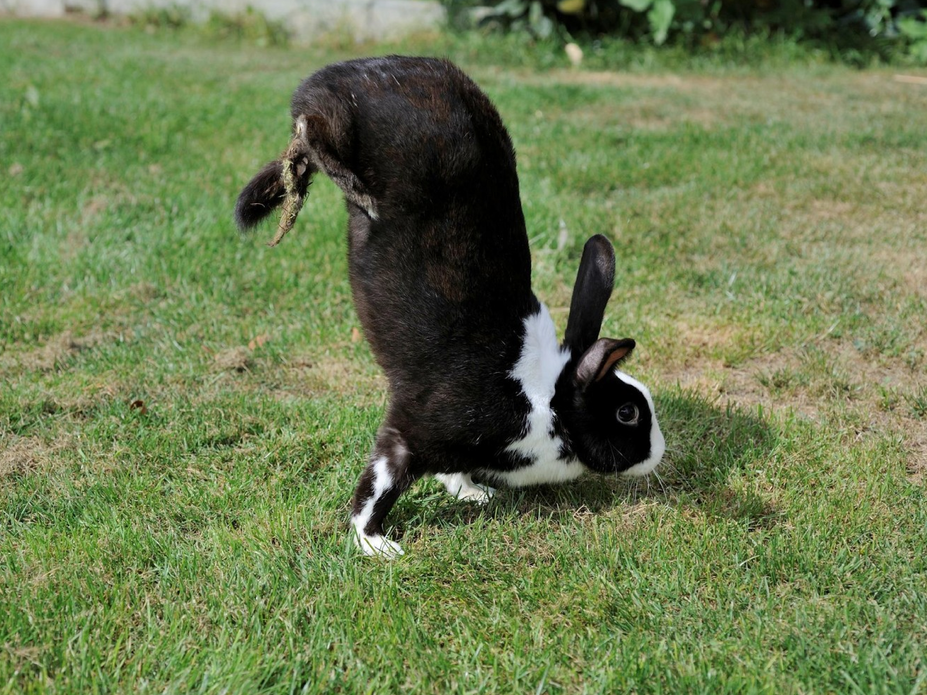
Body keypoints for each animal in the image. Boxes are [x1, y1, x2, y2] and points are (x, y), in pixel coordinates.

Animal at [236, 55, 664, 560]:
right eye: (626, 413)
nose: (658, 453)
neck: (548, 399)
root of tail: (344, 71)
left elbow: (450, 471)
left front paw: (473, 493)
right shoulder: (411, 434)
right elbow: (380, 485)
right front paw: (375, 545)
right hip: (344, 125)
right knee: (312, 130)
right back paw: (350, 188)